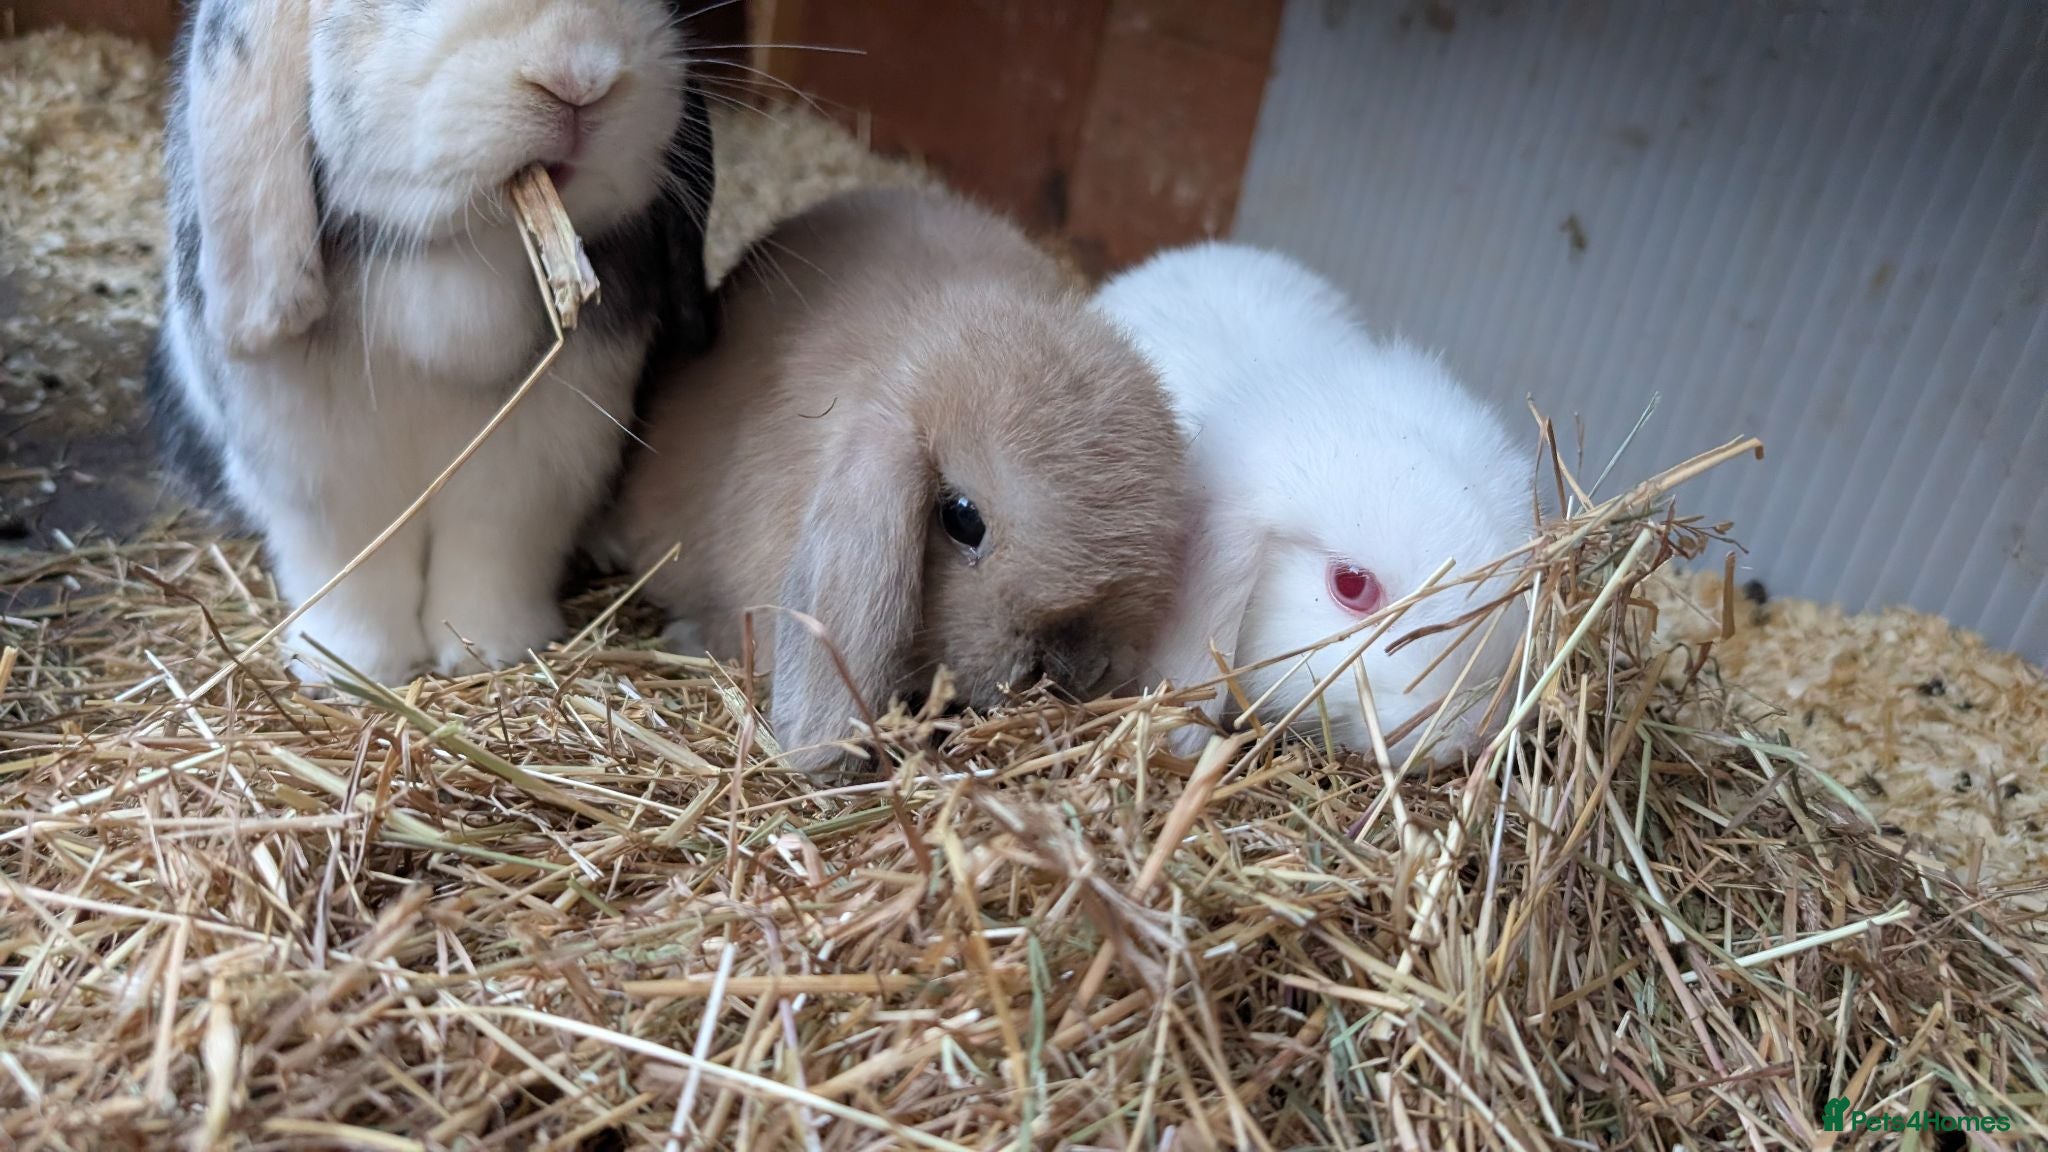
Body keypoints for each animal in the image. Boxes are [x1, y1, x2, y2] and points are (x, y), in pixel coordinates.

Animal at [145, 0, 717, 685]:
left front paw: (489, 650)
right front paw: (354, 669)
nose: (578, 80)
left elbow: (493, 546)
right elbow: (351, 565)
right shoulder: (319, 467)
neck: (472, 253)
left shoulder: (537, 460)